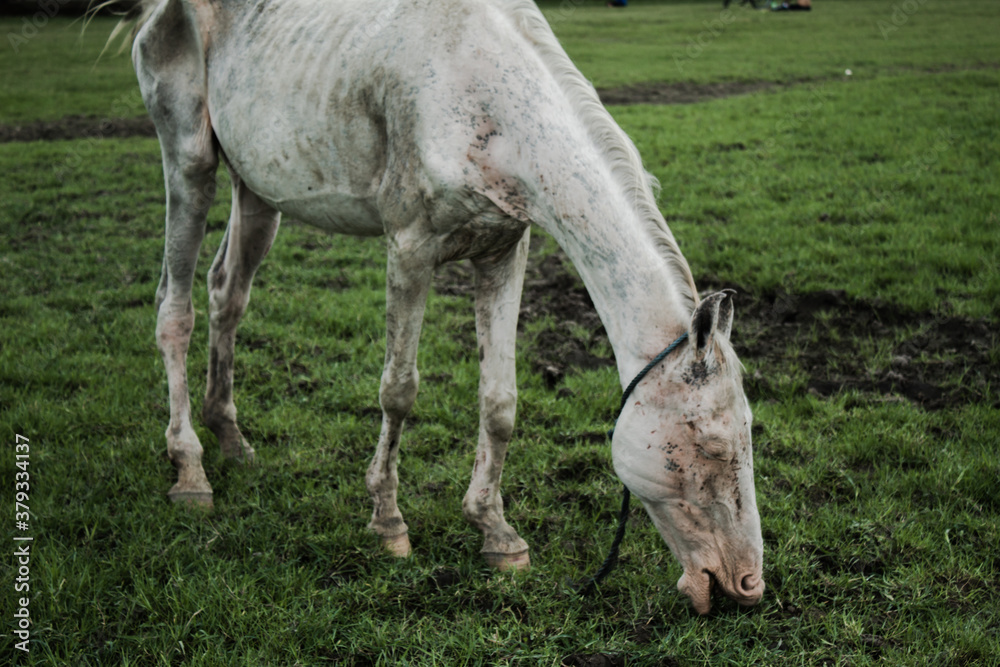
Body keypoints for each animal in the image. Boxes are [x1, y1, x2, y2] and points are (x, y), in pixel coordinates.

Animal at [124, 0, 765, 614]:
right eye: (711, 446)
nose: (746, 585)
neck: (482, 95)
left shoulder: (504, 251)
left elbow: (500, 402)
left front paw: (496, 532)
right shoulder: (409, 247)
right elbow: (399, 391)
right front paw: (388, 524)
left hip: (257, 191)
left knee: (227, 295)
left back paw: (232, 440)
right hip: (189, 167)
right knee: (175, 311)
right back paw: (191, 470)